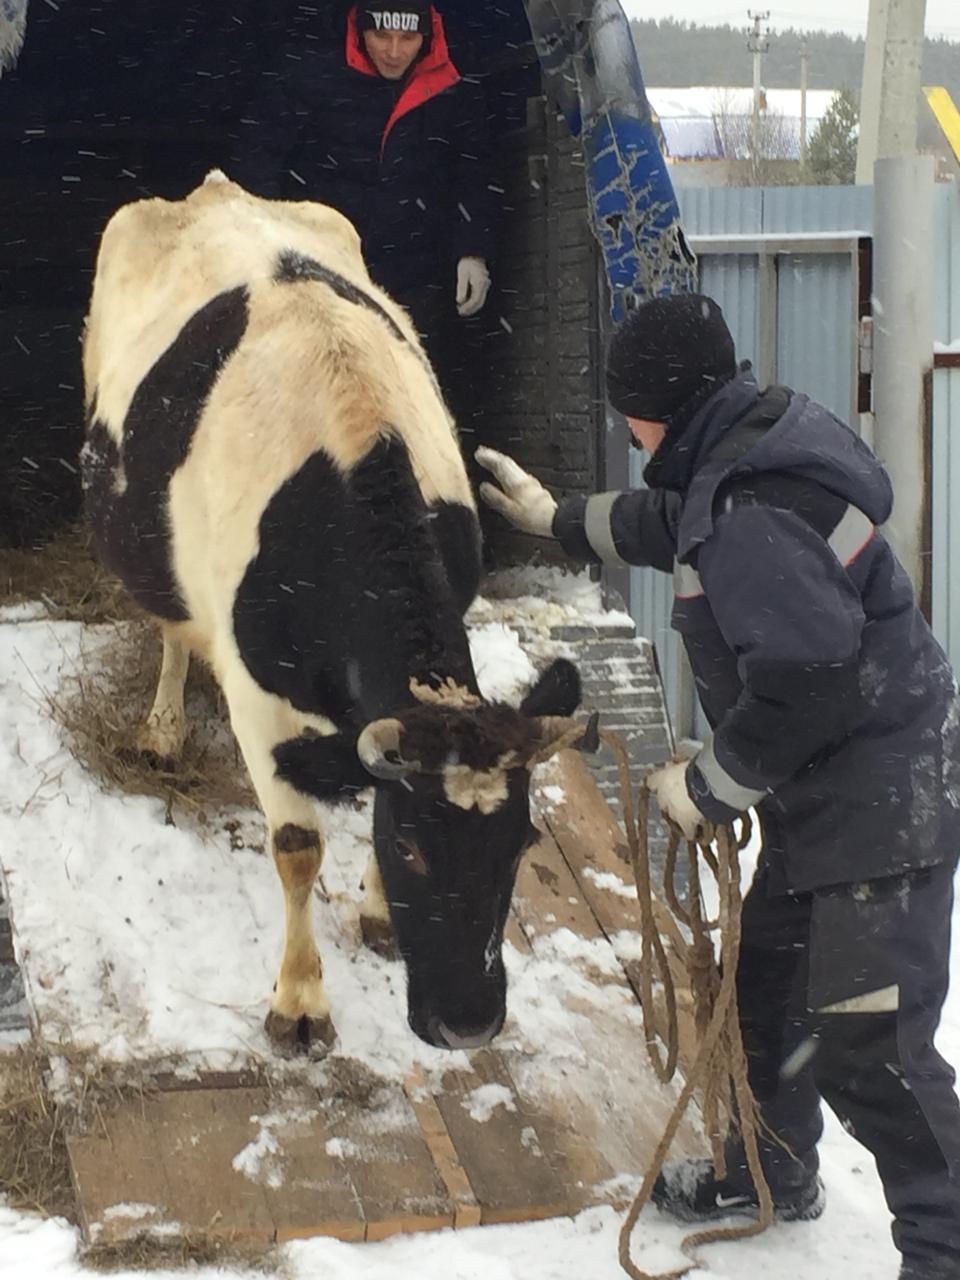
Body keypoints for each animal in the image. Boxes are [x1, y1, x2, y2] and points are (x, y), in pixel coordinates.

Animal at [80, 170, 578, 1049]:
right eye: (412, 848)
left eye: (519, 843)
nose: (470, 1026)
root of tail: (213, 189)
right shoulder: (256, 693)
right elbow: (297, 844)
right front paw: (301, 1004)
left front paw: (377, 918)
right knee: (170, 625)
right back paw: (165, 729)